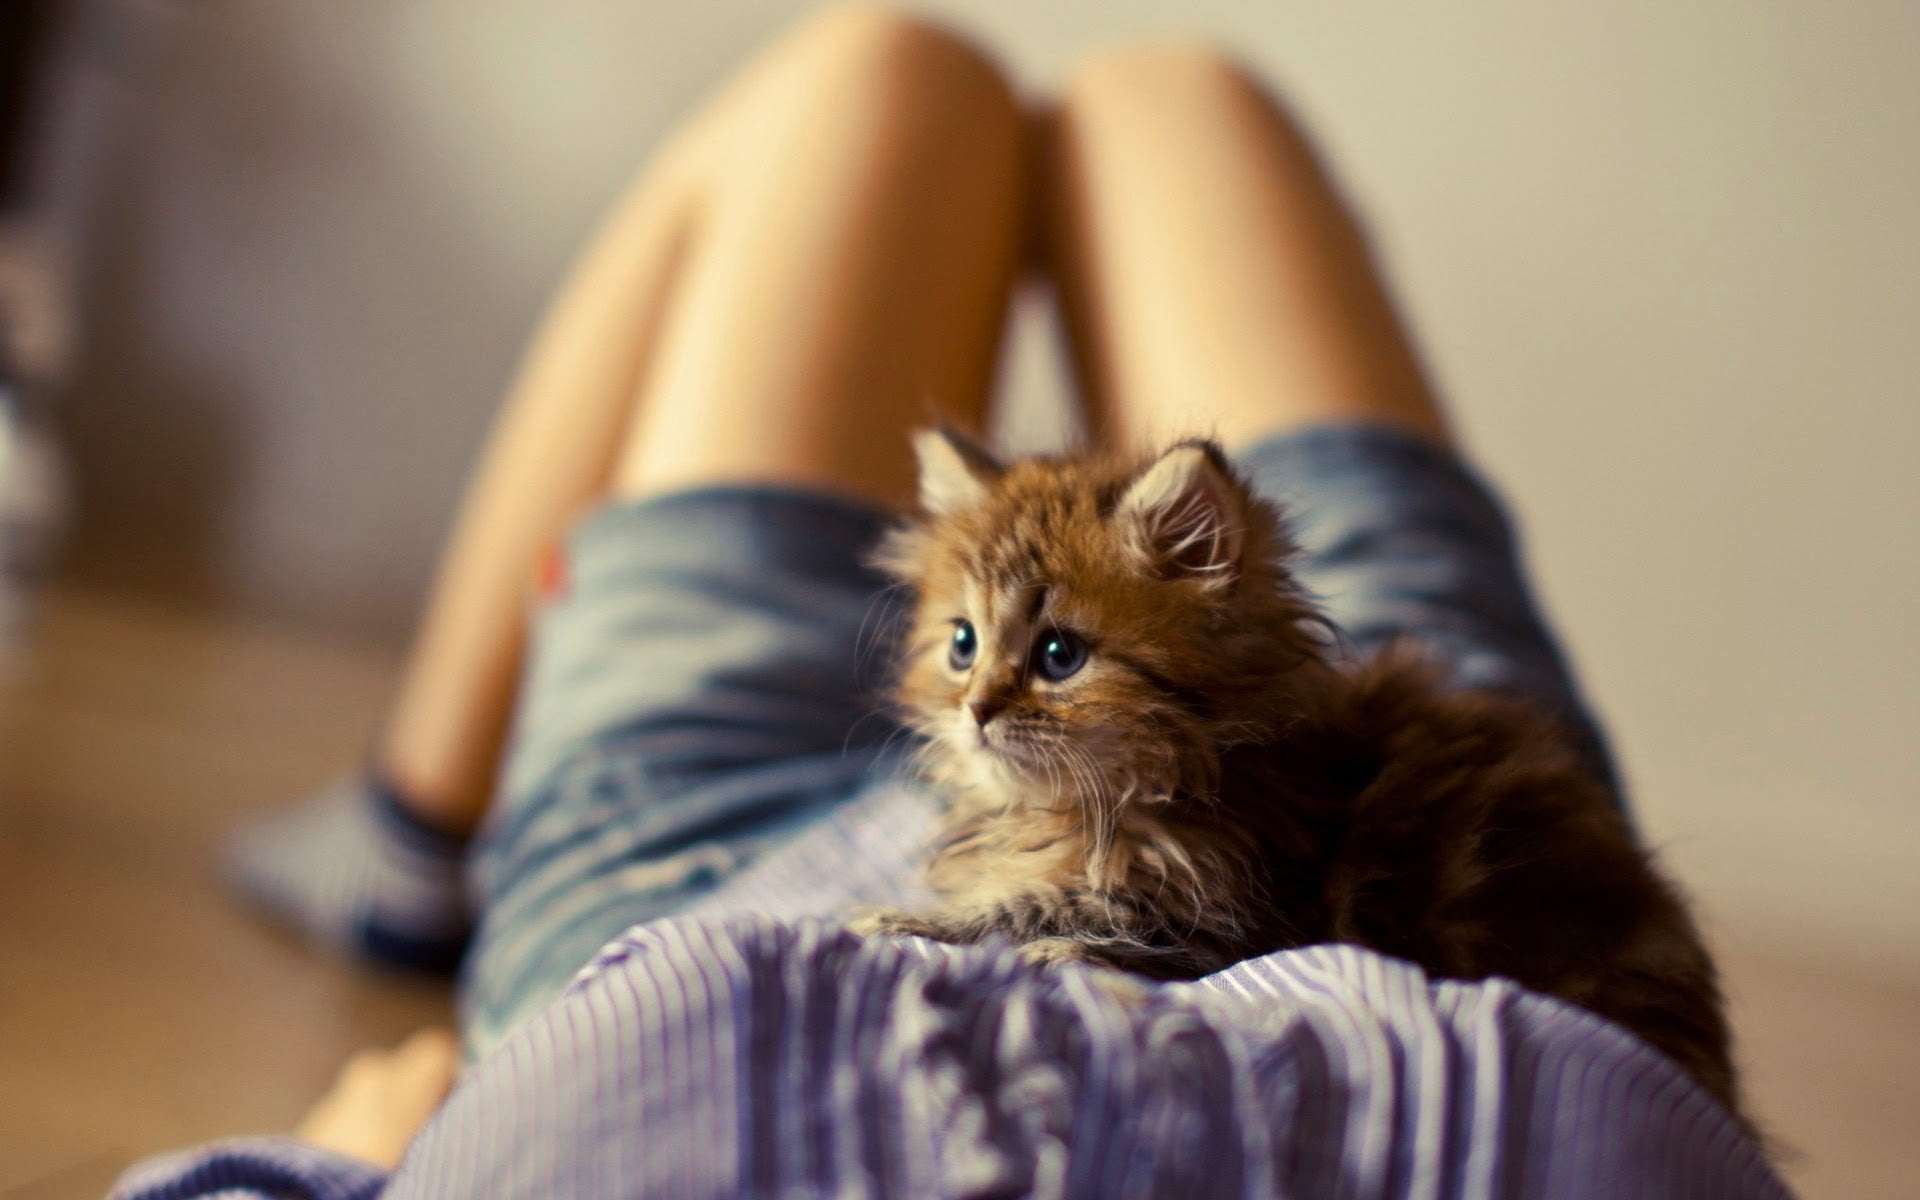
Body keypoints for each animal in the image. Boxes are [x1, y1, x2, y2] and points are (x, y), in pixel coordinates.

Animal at [856, 428, 1743, 1113]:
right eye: (962, 644)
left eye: (1057, 655)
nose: (976, 710)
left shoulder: (1230, 916)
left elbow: (1033, 912)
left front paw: (904, 922)